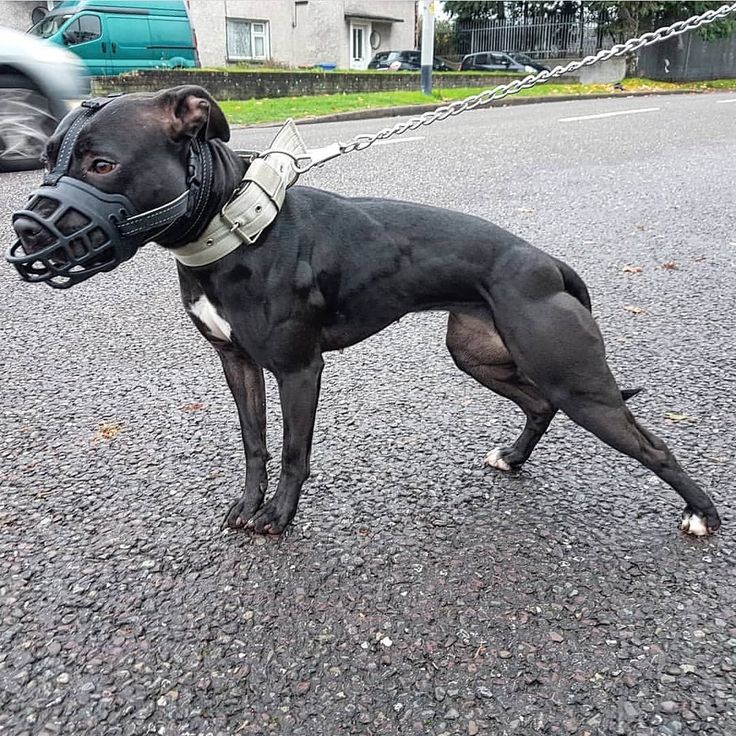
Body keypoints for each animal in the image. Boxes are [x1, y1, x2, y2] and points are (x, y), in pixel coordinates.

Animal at [10, 86, 724, 536]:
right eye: (44, 160)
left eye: (103, 164)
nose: (25, 231)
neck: (234, 227)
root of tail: (545, 261)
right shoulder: (237, 365)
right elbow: (255, 444)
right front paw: (249, 504)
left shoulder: (299, 370)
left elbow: (293, 449)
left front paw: (279, 518)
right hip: (479, 354)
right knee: (538, 404)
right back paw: (514, 459)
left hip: (579, 382)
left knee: (652, 444)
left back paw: (703, 514)